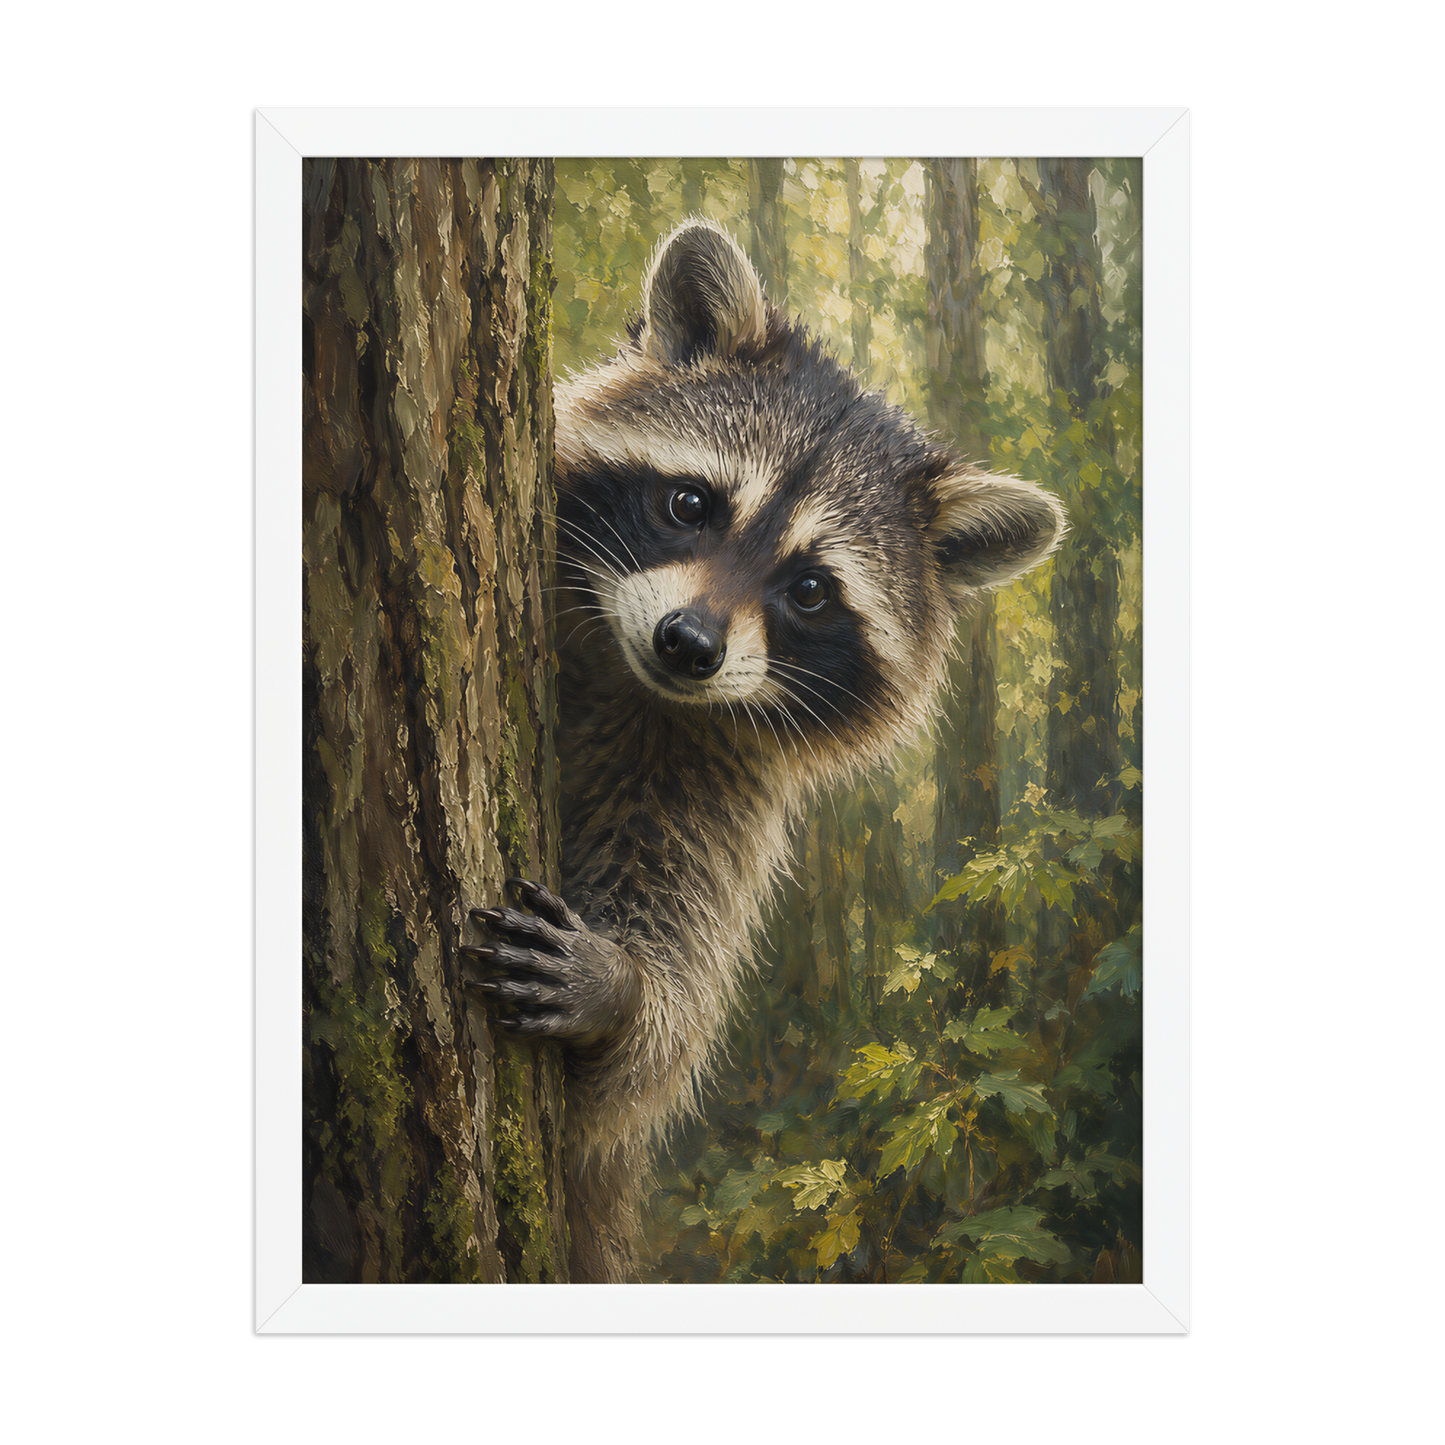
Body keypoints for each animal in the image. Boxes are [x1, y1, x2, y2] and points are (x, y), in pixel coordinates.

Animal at [462, 217, 1065, 1282]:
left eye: (812, 590)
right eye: (690, 504)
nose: (688, 645)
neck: (631, 682)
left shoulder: (713, 788)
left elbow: (645, 1059)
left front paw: (625, 991)